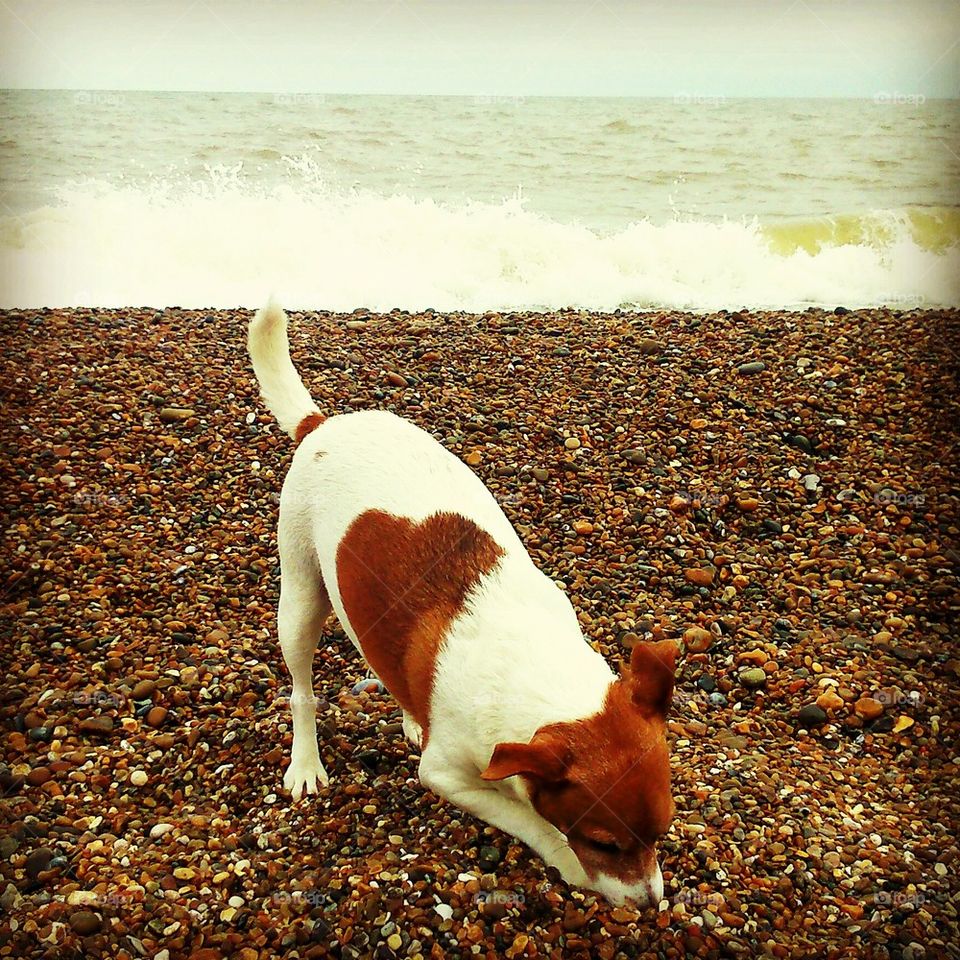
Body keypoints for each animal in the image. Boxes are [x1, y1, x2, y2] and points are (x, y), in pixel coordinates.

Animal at [251, 302, 680, 908]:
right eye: (604, 844)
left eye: (662, 830)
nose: (650, 903)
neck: (532, 665)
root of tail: (322, 424)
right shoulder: (448, 777)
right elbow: (533, 822)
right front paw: (569, 864)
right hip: (300, 599)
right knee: (301, 691)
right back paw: (306, 761)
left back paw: (410, 716)